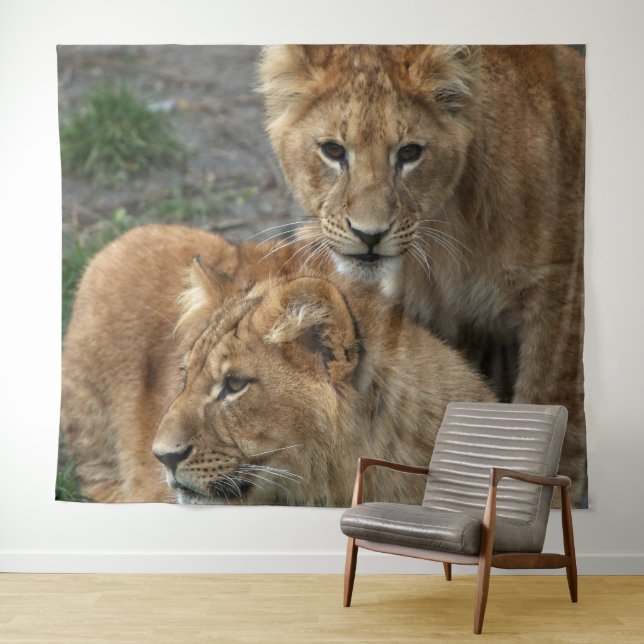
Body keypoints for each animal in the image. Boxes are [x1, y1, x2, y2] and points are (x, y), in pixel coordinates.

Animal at [258, 45, 587, 505]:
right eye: (333, 151)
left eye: (410, 153)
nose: (370, 235)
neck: (449, 228)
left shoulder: (560, 291)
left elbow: (550, 412)